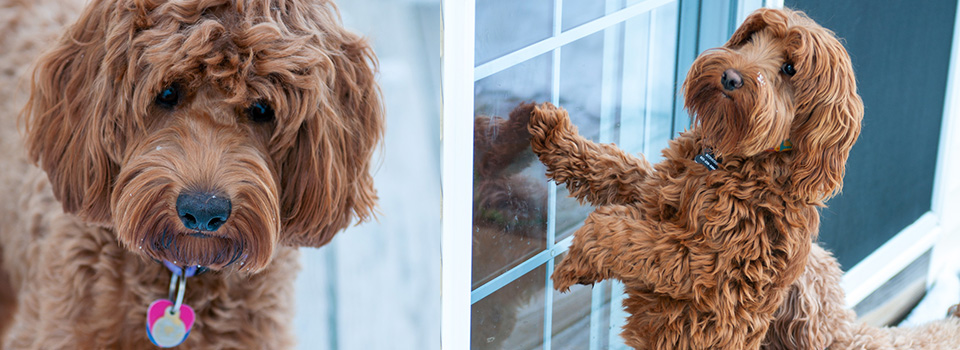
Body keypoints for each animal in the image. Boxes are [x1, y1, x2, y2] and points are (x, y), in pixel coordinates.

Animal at [528, 8, 868, 350]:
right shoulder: (655, 191)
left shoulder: (706, 263)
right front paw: (557, 135)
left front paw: (576, 261)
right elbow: (614, 167)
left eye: (789, 68)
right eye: (752, 38)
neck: (729, 160)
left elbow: (620, 233)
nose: (730, 77)